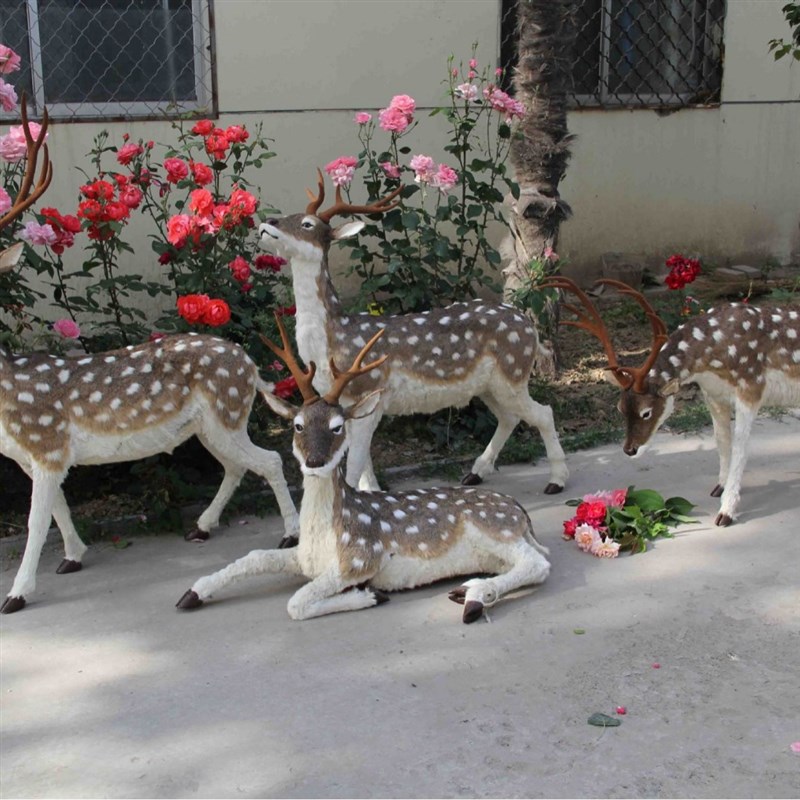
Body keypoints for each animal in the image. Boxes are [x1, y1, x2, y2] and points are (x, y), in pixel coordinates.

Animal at [0, 104, 299, 614]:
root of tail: (251, 365)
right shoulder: (36, 457)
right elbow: (58, 508)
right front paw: (74, 557)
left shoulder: (47, 445)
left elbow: (37, 523)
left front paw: (17, 594)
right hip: (209, 425)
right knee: (239, 465)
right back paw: (201, 526)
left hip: (226, 414)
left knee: (271, 459)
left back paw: (289, 534)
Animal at [175, 314, 551, 623]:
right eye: (297, 425)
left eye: (338, 427)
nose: (314, 462)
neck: (327, 535)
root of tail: (522, 513)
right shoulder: (304, 558)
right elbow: (254, 557)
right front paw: (191, 593)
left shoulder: (361, 558)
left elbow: (296, 601)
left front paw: (370, 595)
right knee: (531, 559)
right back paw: (468, 588)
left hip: (494, 527)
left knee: (540, 563)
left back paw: (474, 598)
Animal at [257, 170, 569, 496]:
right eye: (290, 214)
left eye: (307, 224)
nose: (267, 223)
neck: (334, 339)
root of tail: (530, 328)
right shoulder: (346, 403)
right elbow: (363, 462)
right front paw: (373, 492)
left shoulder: (369, 389)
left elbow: (355, 463)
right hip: (490, 385)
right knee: (510, 417)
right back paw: (476, 473)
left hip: (513, 373)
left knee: (543, 413)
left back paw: (556, 481)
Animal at [541, 276, 800, 526]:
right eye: (620, 409)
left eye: (646, 412)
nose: (629, 449)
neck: (712, 361)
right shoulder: (713, 394)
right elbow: (721, 440)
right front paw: (720, 486)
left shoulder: (750, 385)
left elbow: (740, 447)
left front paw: (726, 512)